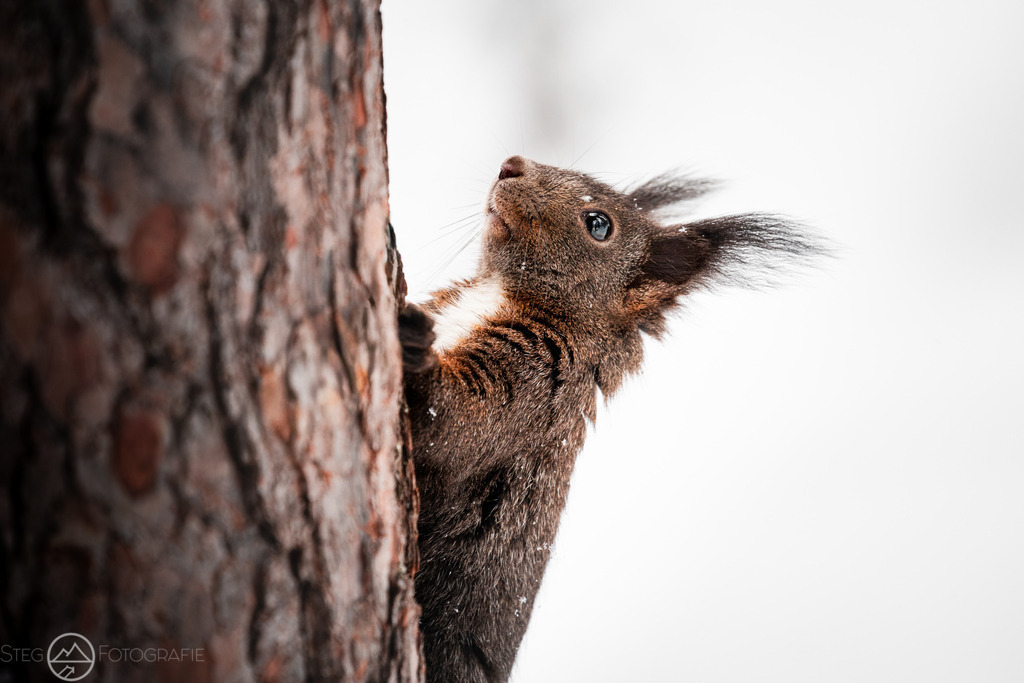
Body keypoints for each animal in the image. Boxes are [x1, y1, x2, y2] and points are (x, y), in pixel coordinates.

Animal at [399, 155, 823, 682]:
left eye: (598, 225)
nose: (511, 165)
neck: (502, 292)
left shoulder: (540, 384)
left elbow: (457, 425)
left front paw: (412, 346)